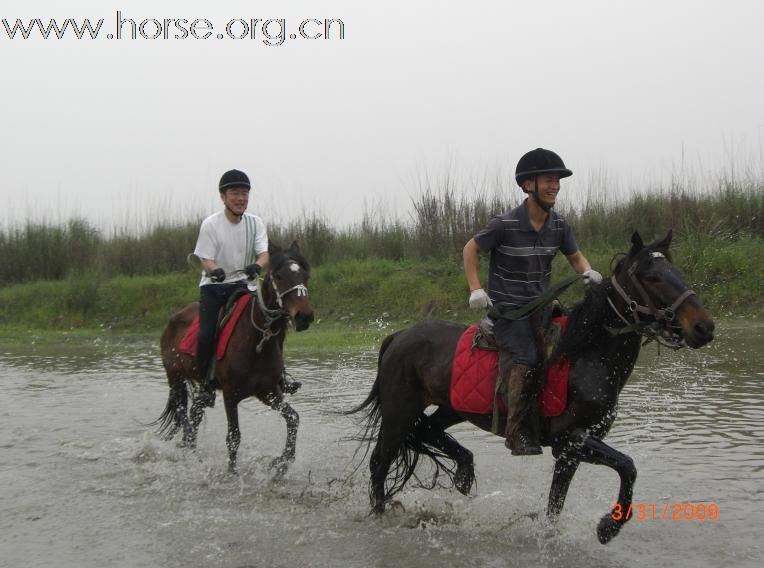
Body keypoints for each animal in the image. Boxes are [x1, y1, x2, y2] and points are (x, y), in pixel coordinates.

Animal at [154, 241, 314, 474]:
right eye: (279, 276)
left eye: (305, 275)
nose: (305, 316)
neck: (256, 342)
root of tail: (173, 319)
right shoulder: (231, 395)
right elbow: (234, 437)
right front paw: (231, 474)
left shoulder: (268, 392)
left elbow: (293, 418)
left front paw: (281, 464)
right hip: (175, 379)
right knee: (184, 416)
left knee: (194, 414)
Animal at [350, 232, 716, 544]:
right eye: (653, 278)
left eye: (678, 272)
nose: (704, 327)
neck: (586, 354)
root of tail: (399, 336)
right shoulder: (570, 439)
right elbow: (628, 466)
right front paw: (608, 527)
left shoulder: (569, 453)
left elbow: (556, 504)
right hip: (399, 412)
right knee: (380, 463)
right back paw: (380, 517)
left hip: (451, 408)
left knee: (426, 431)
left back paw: (464, 472)